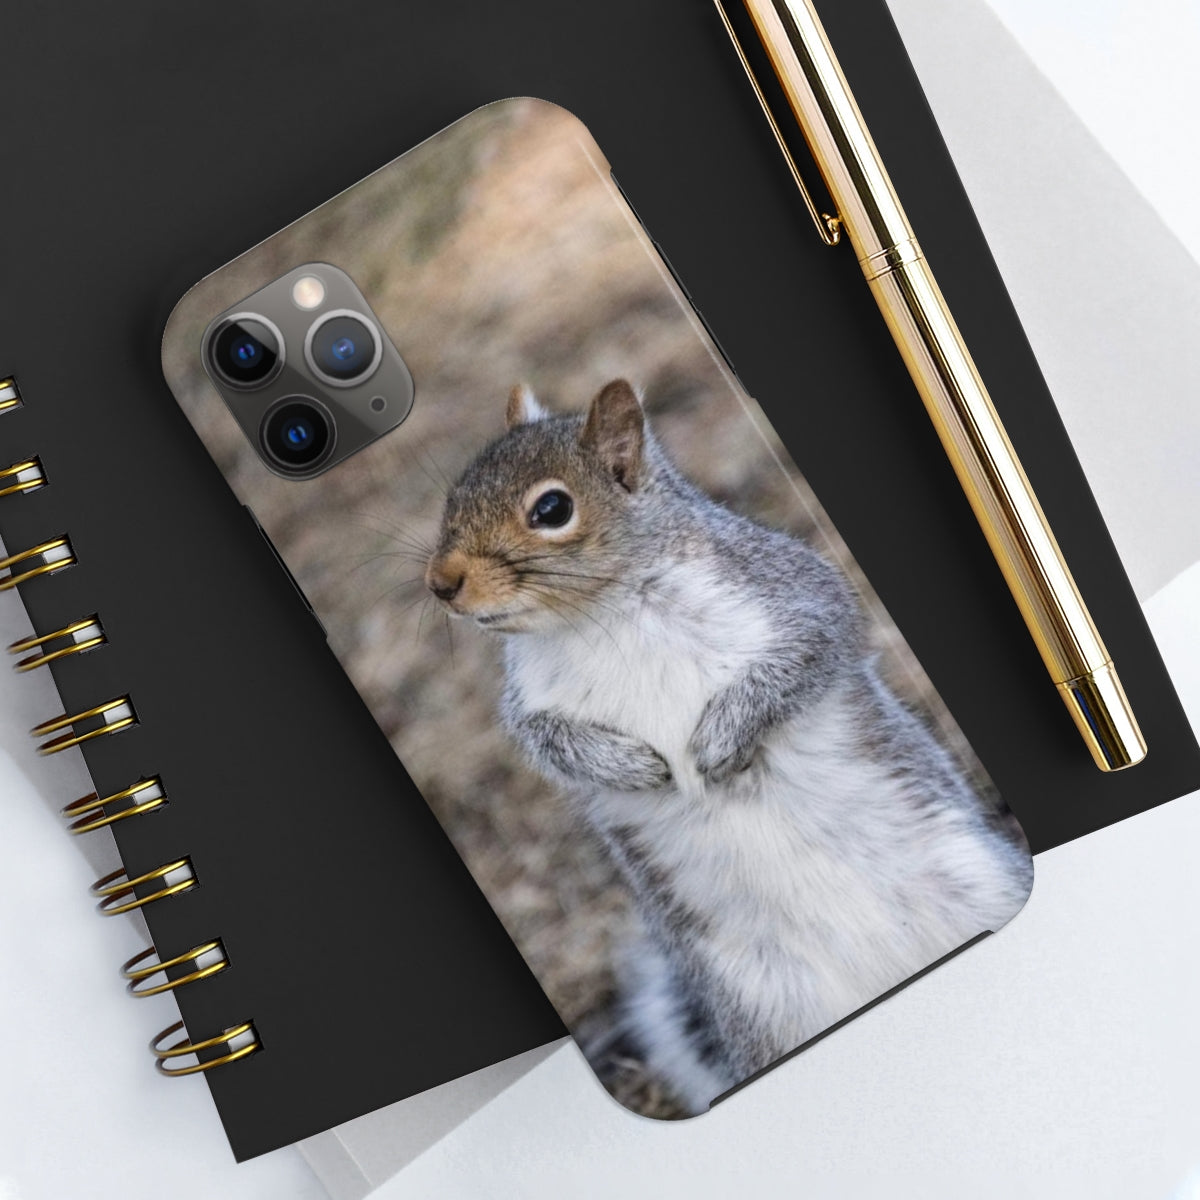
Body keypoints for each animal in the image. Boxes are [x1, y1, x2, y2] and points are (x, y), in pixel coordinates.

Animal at [426, 378, 1033, 1114]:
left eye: (551, 509)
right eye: (452, 497)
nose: (440, 584)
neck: (600, 615)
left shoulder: (791, 593)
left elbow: (808, 651)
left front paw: (718, 742)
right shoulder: (529, 705)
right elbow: (550, 744)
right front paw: (633, 766)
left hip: (985, 885)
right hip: (760, 1012)